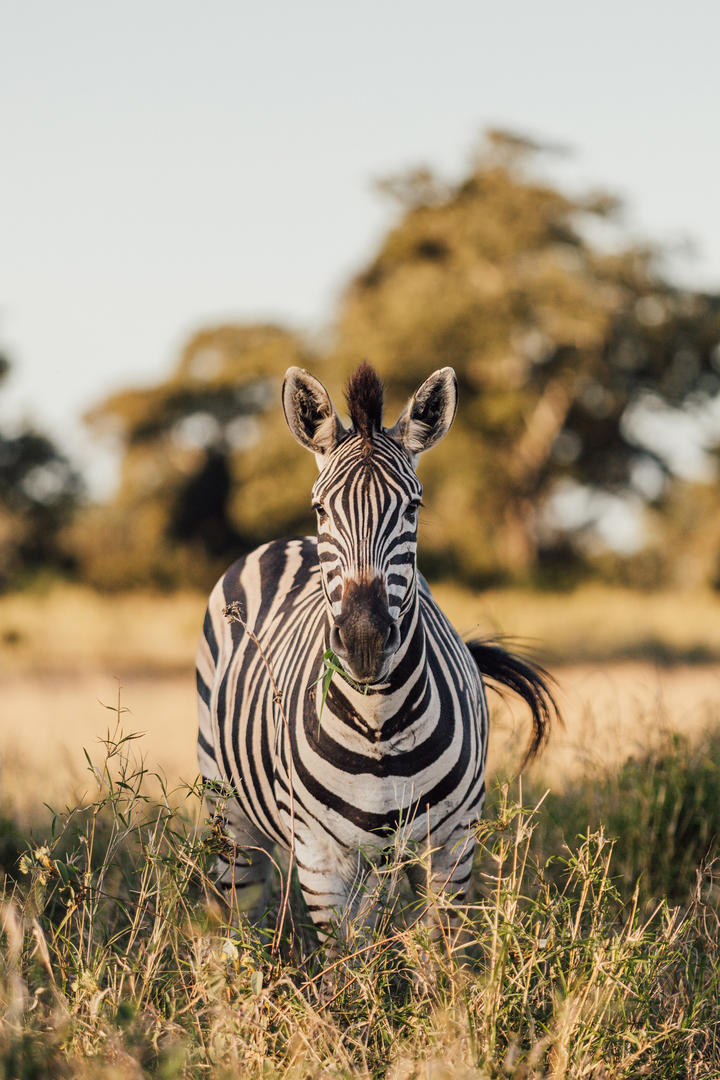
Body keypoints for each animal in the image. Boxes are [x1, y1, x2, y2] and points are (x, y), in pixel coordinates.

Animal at [197, 362, 557, 946]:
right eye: (320, 507)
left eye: (414, 506)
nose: (365, 641)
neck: (380, 723)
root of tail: (287, 542)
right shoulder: (321, 861)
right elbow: (347, 966)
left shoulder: (452, 851)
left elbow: (438, 955)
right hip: (228, 813)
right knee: (240, 916)